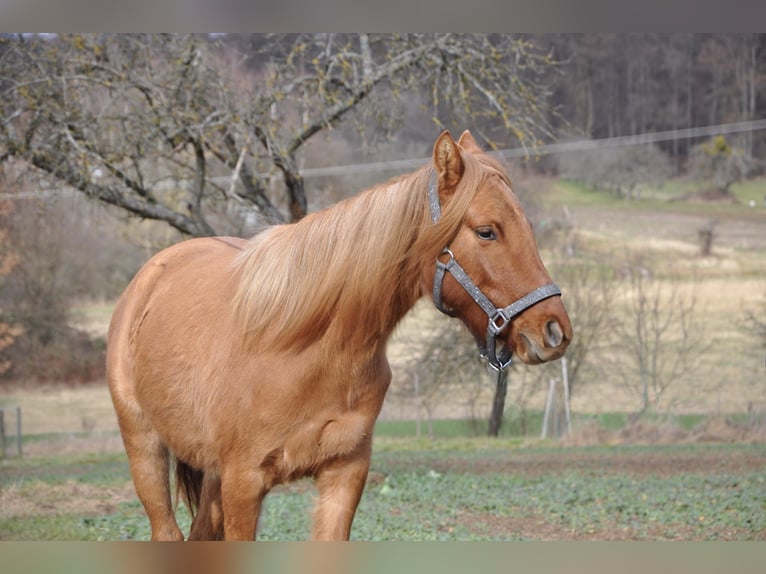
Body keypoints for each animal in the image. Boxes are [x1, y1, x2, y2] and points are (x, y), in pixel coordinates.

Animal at [106, 130, 572, 541]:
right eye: (487, 231)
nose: (554, 331)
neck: (306, 349)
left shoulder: (344, 474)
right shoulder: (243, 483)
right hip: (146, 449)